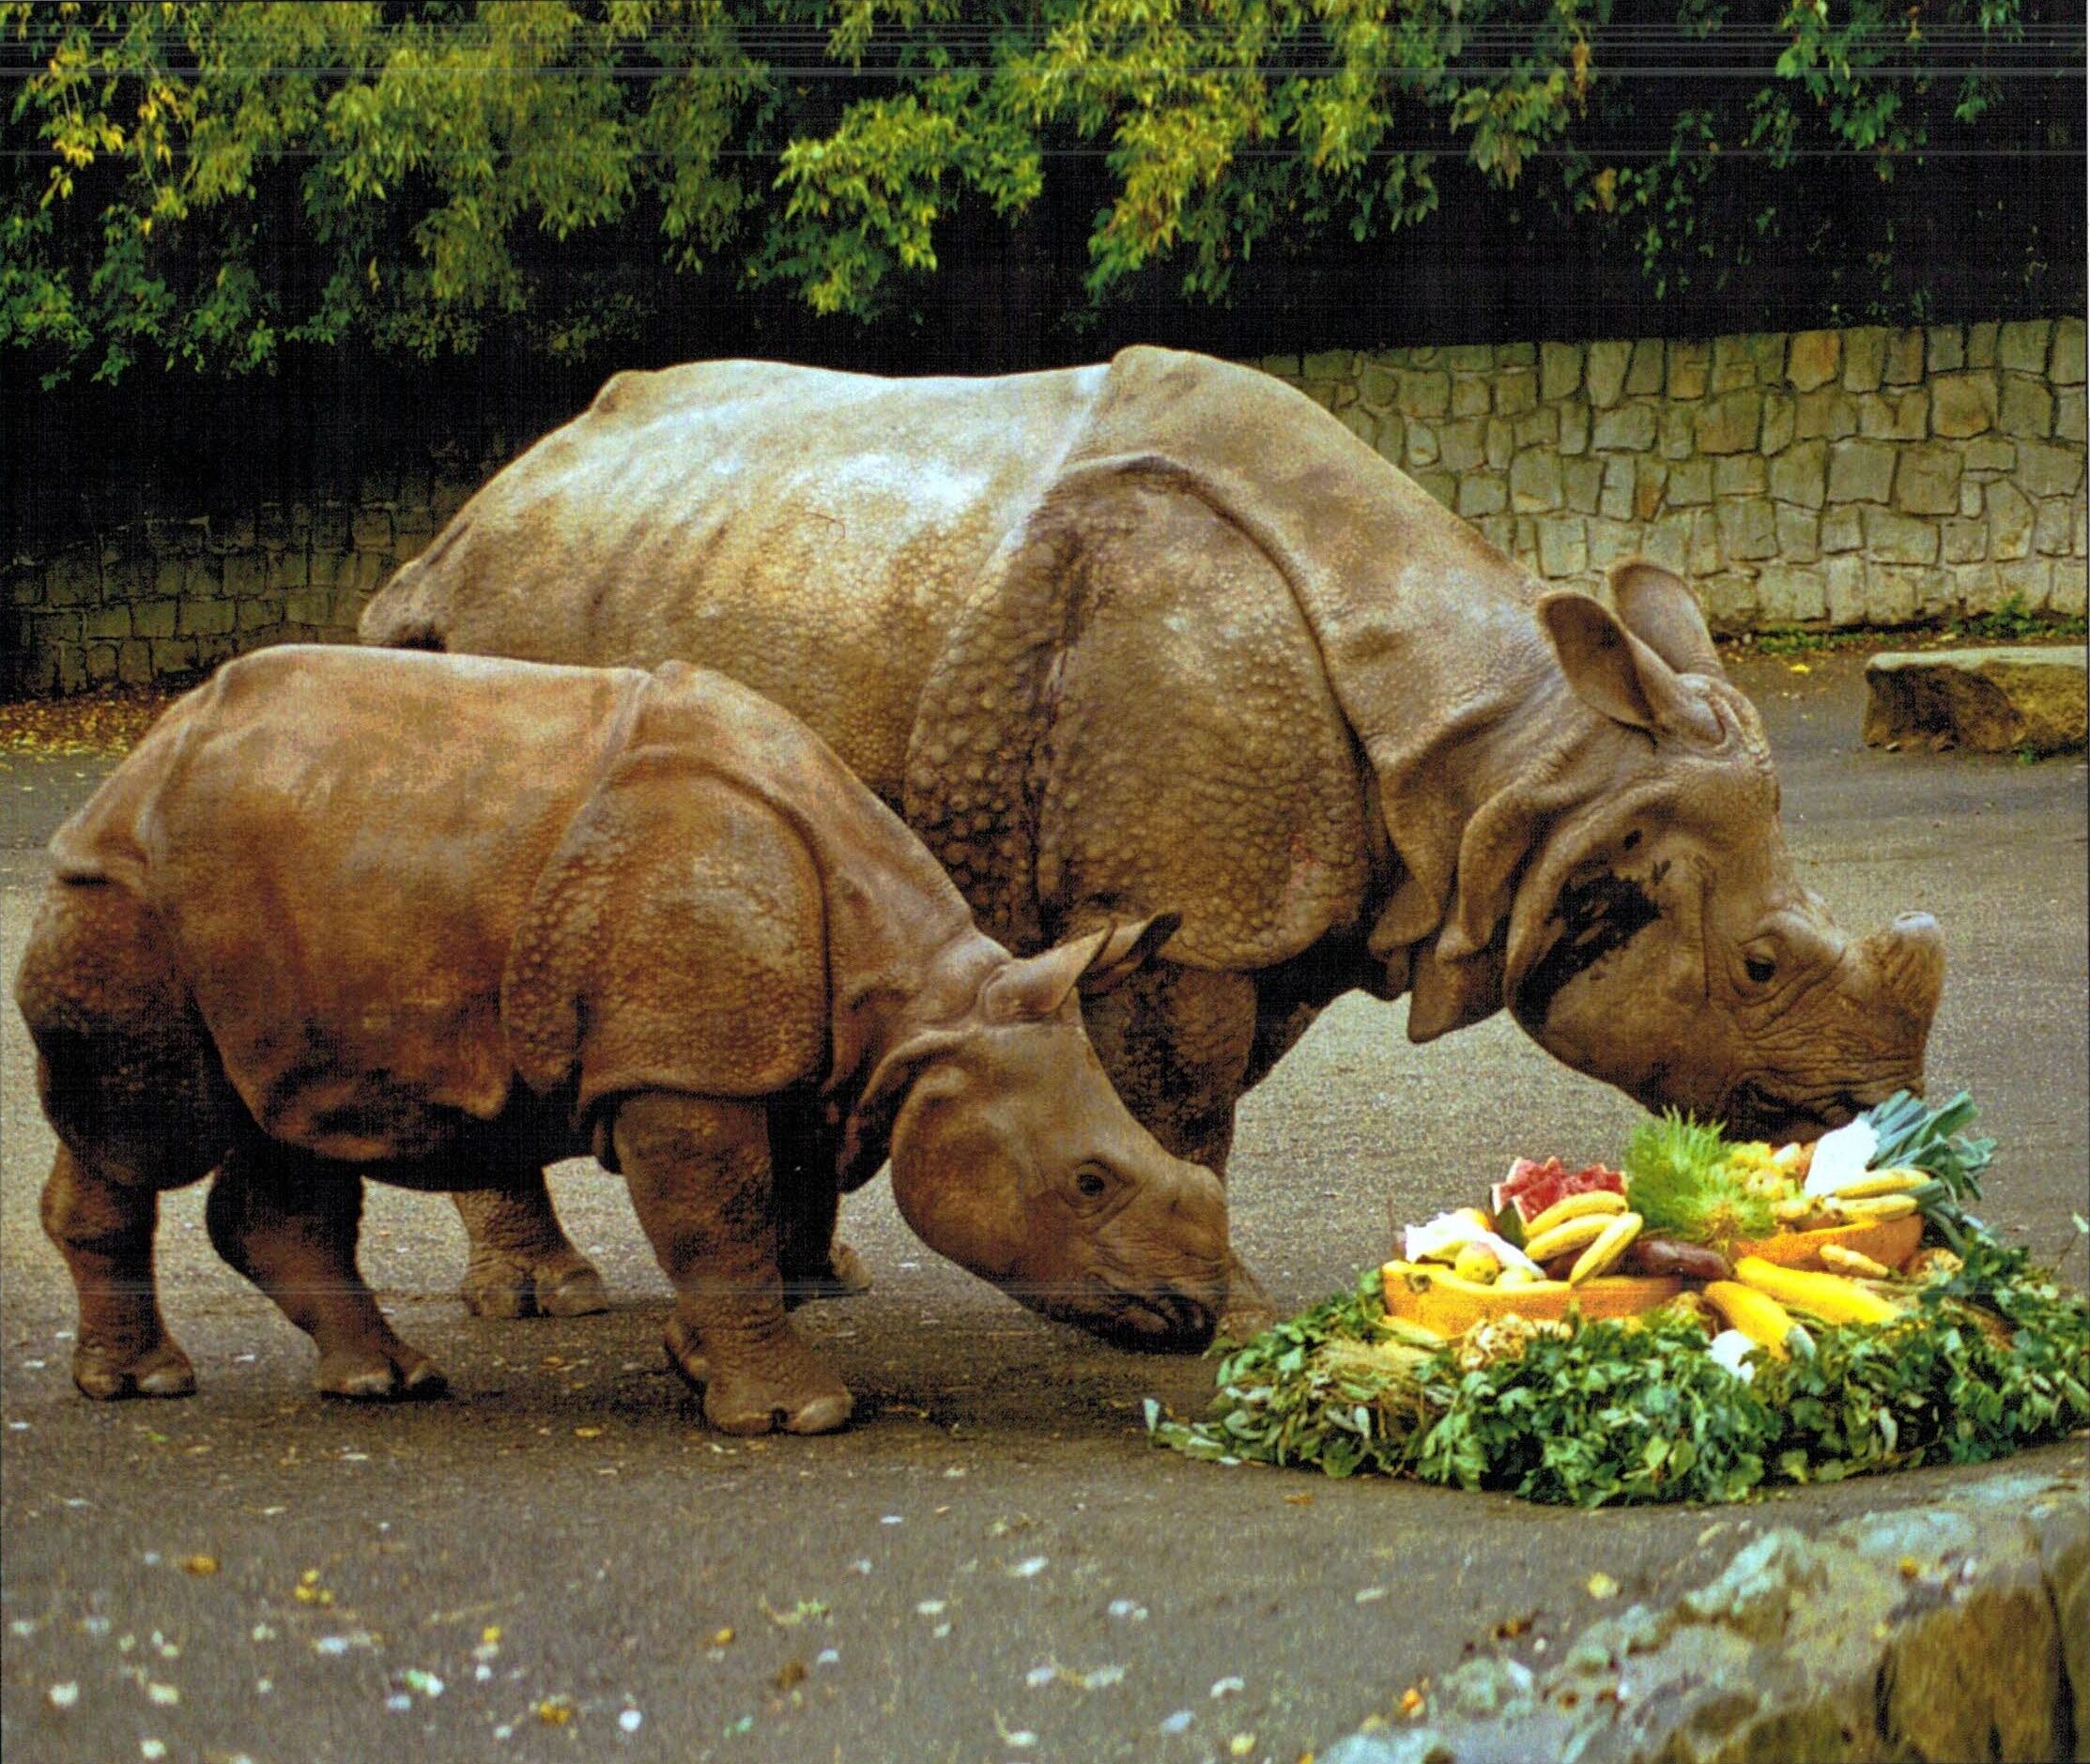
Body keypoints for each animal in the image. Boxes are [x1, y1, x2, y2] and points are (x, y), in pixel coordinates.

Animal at [14, 646, 1228, 1433]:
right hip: (126, 890)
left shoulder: (783, 1061)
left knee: (298, 1115)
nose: (1204, 1310)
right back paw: (144, 1387)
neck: (923, 1008)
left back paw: (386, 1383)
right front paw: (801, 1416)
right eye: (1088, 1182)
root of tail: (140, 754)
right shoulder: (680, 1070)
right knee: (148, 1126)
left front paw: (699, 1365)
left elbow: (768, 1218)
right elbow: (721, 1218)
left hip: (295, 883)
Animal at [360, 345, 1947, 1332]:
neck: (1518, 764)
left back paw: (820, 1279)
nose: (1870, 1115)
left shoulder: (1283, 897)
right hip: (486, 665)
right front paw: (1232, 1312)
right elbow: (1180, 1103)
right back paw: (551, 1300)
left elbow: (1194, 1100)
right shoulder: (1185, 906)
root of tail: (466, 516)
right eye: (1758, 965)